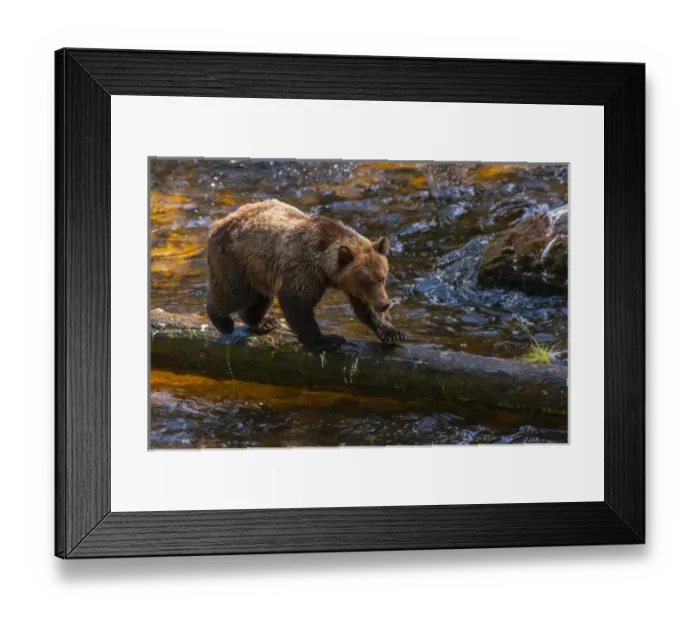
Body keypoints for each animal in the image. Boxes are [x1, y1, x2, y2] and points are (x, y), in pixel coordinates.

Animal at [206, 199, 405, 351]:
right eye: (366, 281)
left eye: (382, 277)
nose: (385, 304)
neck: (324, 264)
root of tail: (218, 223)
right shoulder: (304, 267)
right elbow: (297, 303)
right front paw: (327, 340)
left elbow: (365, 308)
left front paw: (393, 333)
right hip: (237, 261)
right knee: (234, 293)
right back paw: (223, 321)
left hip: (260, 272)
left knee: (261, 298)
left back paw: (263, 322)